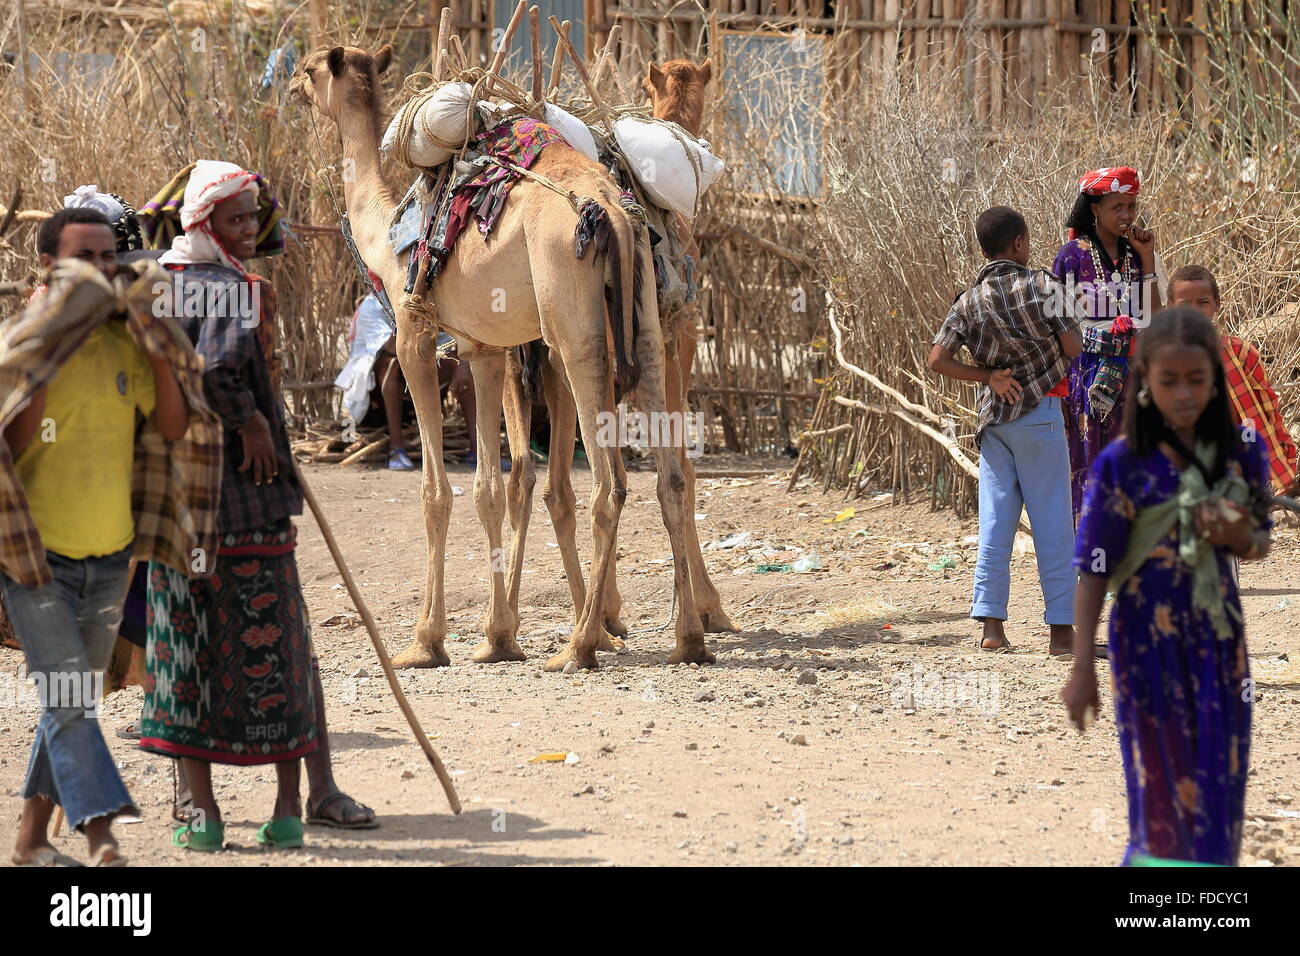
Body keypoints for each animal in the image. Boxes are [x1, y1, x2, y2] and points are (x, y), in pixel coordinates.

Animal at [291, 44, 717, 671]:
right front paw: (497, 636)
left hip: (575, 330)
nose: (291, 87)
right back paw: (688, 637)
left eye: (311, 68)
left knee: (608, 482)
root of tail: (612, 213)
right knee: (671, 477)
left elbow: (437, 493)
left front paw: (425, 642)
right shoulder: (485, 349)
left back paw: (580, 645)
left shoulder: (415, 336)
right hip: (645, 327)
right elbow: (491, 489)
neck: (384, 237)